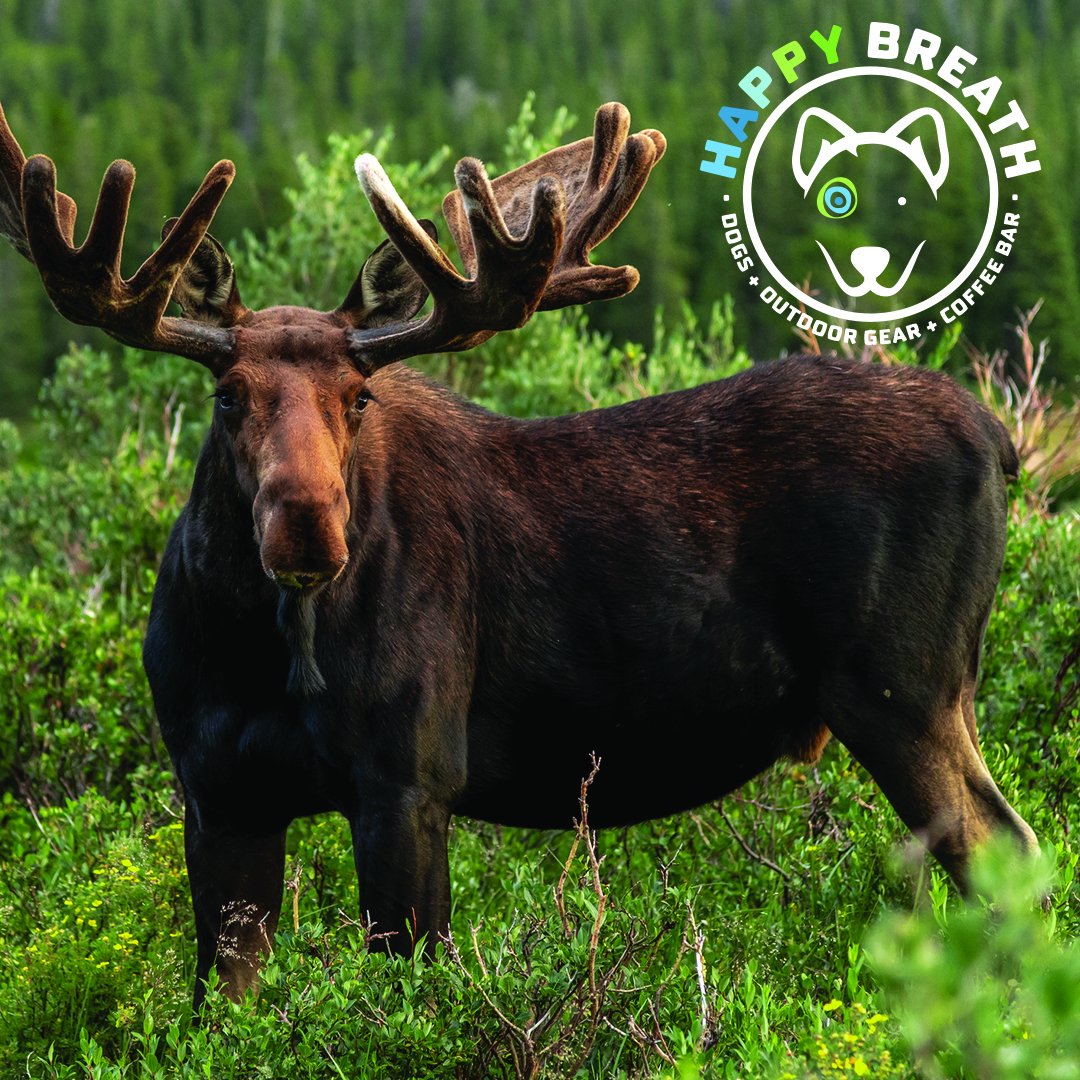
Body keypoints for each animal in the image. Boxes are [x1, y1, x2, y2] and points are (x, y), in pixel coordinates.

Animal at [0, 99, 1037, 1011]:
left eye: (360, 397)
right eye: (227, 396)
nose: (307, 530)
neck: (260, 650)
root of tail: (998, 437)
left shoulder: (412, 779)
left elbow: (408, 989)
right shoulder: (218, 792)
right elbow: (221, 1007)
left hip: (903, 690)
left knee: (1005, 852)